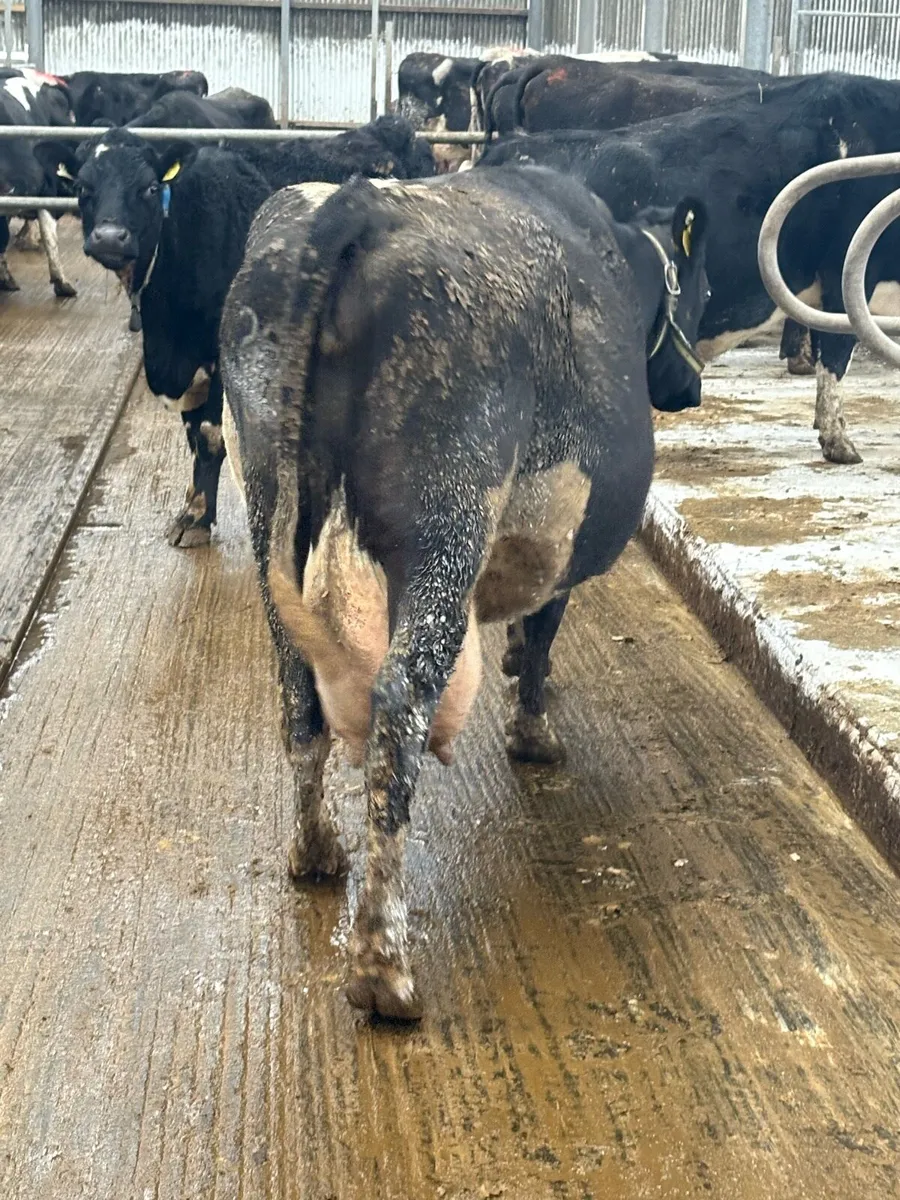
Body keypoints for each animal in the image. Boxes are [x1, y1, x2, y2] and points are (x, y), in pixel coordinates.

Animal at [32, 116, 435, 547]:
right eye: (82, 188)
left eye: (150, 187)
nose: (109, 237)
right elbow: (193, 435)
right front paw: (193, 507)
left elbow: (210, 437)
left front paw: (197, 518)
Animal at [218, 163, 710, 1019]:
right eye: (699, 290)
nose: (691, 384)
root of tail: (358, 205)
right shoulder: (558, 542)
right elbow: (542, 636)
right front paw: (534, 733)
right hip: (447, 523)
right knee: (399, 701)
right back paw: (382, 967)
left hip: (268, 509)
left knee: (296, 697)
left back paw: (316, 853)